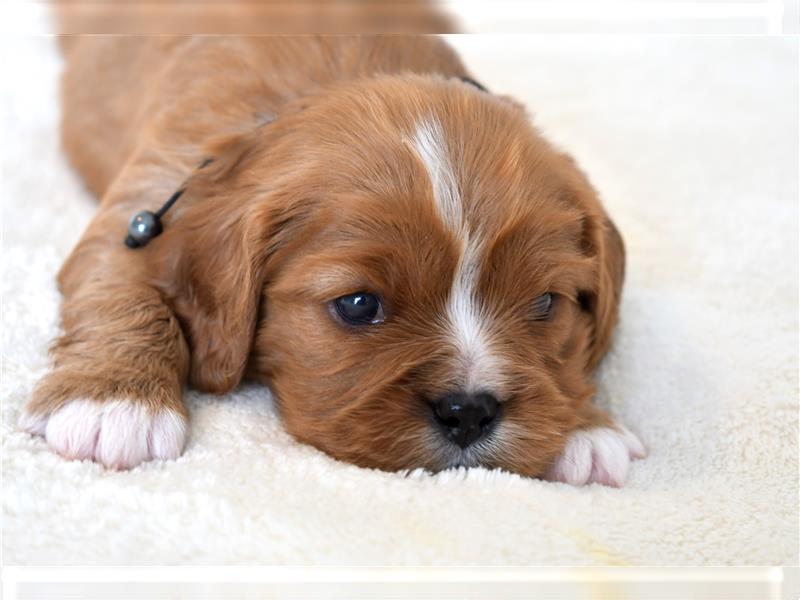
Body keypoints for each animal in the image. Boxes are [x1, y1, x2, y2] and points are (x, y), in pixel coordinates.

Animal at [18, 35, 644, 488]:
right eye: (359, 305)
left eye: (545, 303)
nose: (468, 411)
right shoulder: (140, 211)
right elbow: (123, 292)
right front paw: (114, 401)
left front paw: (584, 425)